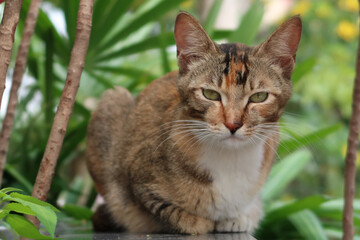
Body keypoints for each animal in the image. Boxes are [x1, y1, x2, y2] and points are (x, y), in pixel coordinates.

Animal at [86, 11, 300, 234]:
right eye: (210, 94)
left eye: (259, 97)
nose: (233, 124)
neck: (230, 160)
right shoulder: (135, 180)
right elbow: (157, 207)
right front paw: (194, 221)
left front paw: (239, 218)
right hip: (111, 100)